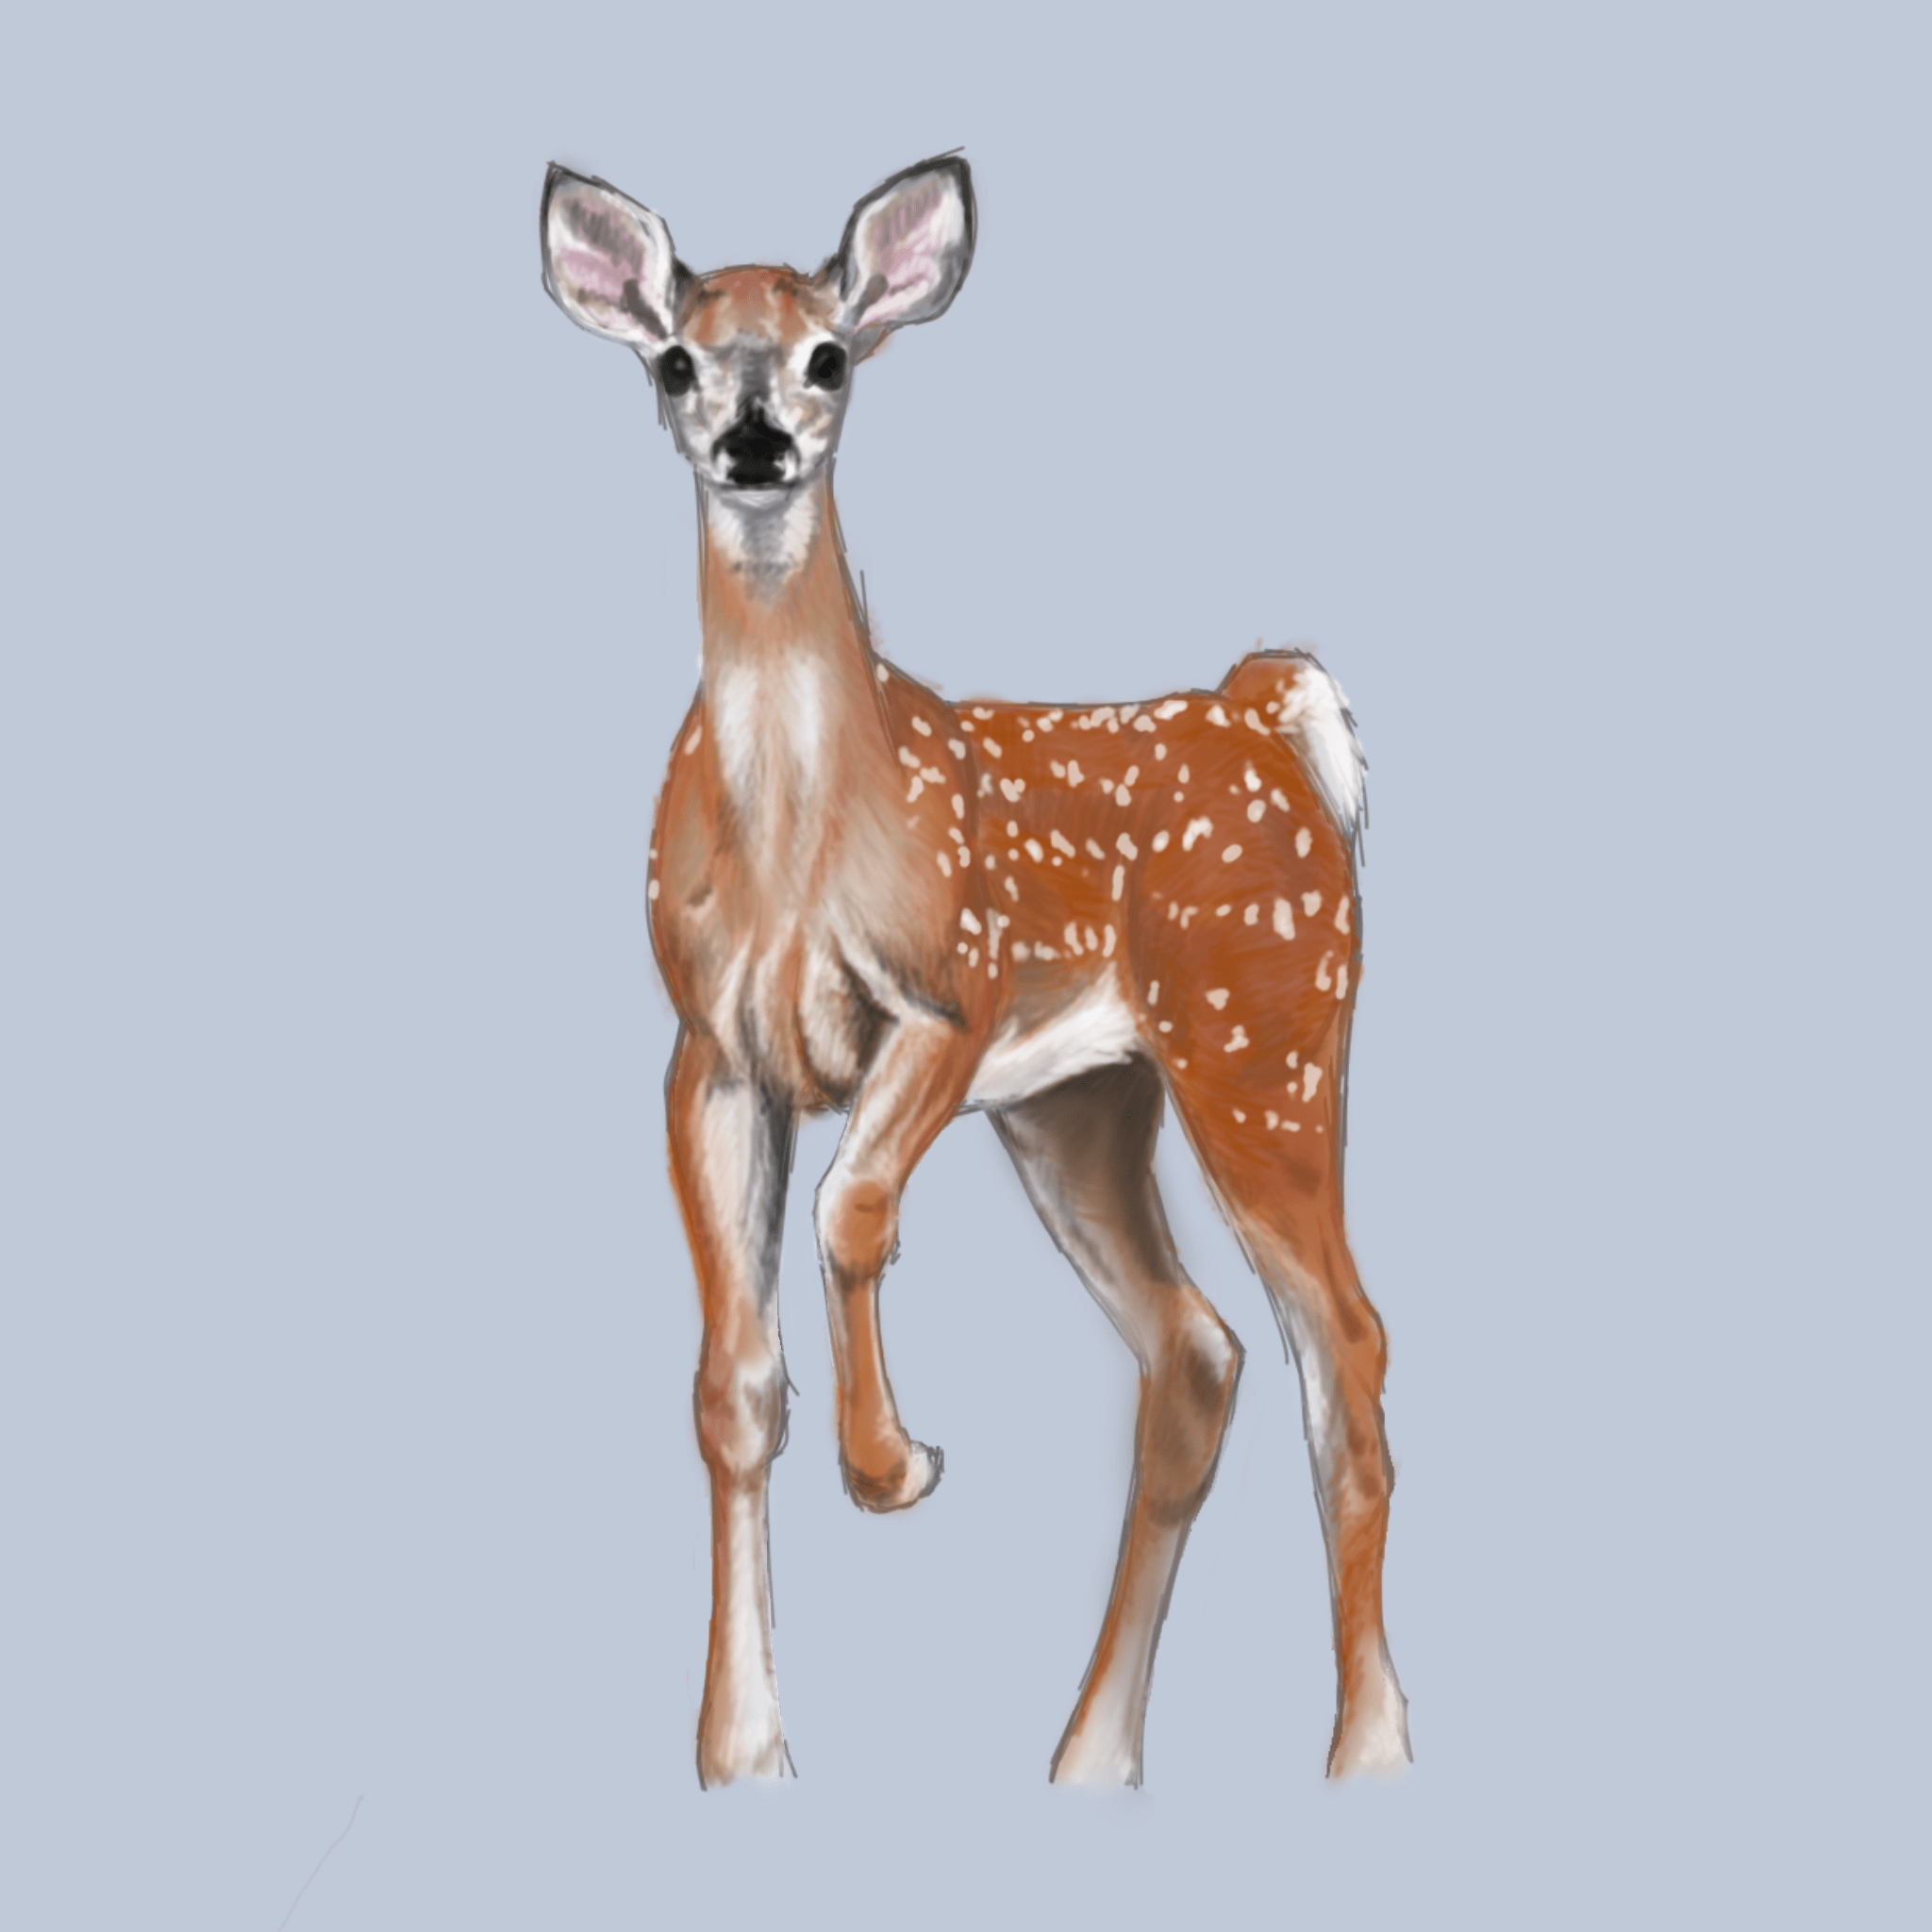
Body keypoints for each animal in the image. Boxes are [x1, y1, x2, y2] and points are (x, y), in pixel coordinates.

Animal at [539, 152, 1410, 1789]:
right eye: (678, 361)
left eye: (829, 355)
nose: (755, 440)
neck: (799, 852)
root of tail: (1265, 712)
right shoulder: (709, 1050)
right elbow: (729, 1386)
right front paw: (741, 1753)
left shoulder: (952, 990)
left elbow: (853, 1205)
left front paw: (892, 1467)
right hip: (1083, 1106)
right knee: (1200, 1351)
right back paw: (1089, 1764)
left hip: (1264, 1033)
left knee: (1345, 1346)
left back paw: (1371, 1751)